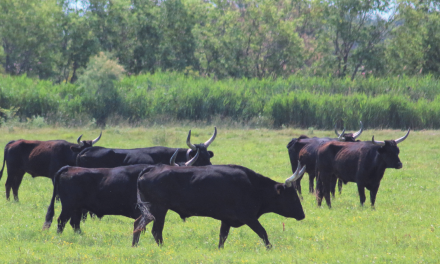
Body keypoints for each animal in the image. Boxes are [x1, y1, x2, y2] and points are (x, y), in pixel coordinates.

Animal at [132, 162, 308, 249]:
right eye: (293, 197)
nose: (302, 215)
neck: (253, 186)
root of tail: (153, 168)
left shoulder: (227, 219)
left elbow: (222, 237)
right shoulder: (249, 217)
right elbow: (263, 232)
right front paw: (270, 248)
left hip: (150, 209)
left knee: (137, 224)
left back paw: (135, 246)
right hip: (159, 209)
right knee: (156, 231)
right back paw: (162, 248)